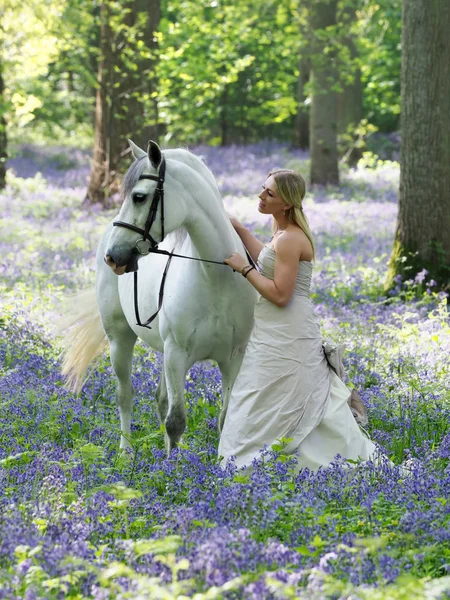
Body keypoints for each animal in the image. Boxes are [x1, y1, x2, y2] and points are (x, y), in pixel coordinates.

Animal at [65, 141, 258, 450]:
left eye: (139, 197)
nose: (112, 256)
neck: (215, 277)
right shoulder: (177, 354)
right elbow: (175, 421)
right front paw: (172, 464)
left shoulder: (233, 358)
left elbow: (226, 419)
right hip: (121, 340)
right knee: (125, 395)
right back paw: (126, 452)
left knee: (160, 398)